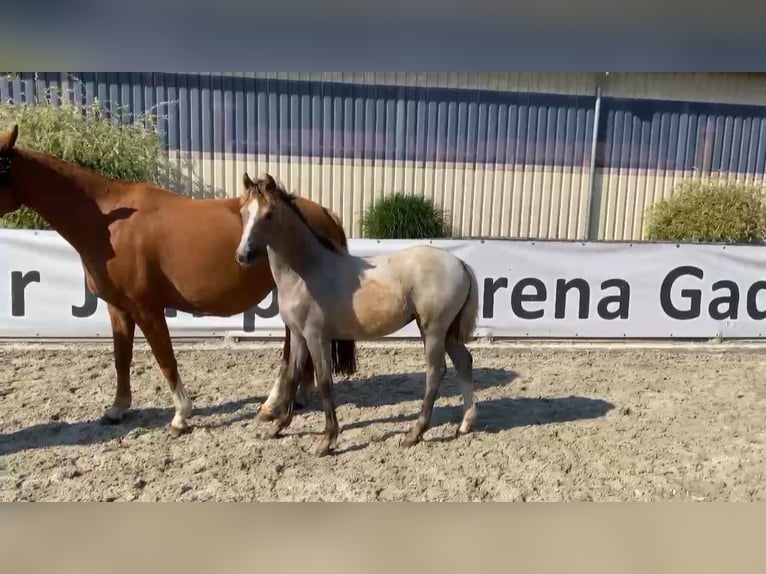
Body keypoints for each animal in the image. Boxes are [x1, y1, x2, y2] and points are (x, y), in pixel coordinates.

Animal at [0, 125, 356, 436]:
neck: (108, 224)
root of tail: (323, 212)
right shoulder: (119, 309)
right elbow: (121, 358)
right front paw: (118, 408)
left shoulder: (147, 309)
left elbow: (165, 359)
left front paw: (181, 416)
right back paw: (295, 397)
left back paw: (273, 404)